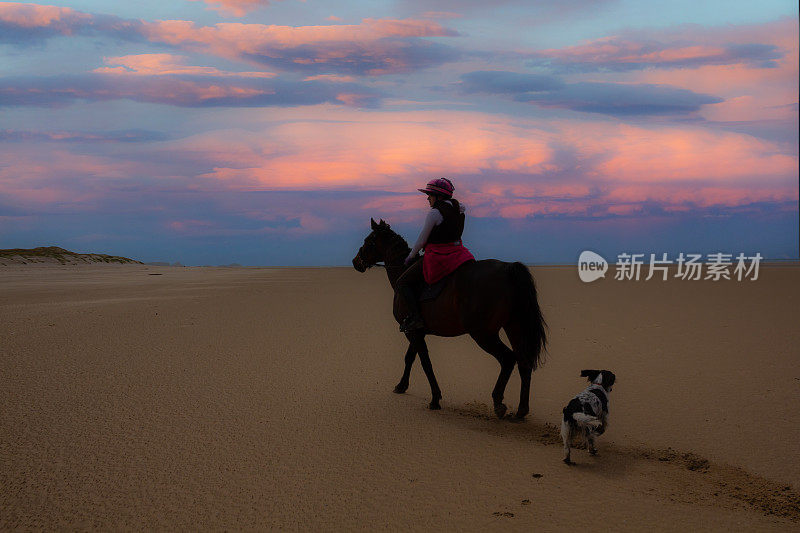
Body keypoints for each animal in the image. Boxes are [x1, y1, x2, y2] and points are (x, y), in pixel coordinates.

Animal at [354, 218, 548, 418]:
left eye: (368, 241)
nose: (355, 261)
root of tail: (507, 268)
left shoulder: (412, 332)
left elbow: (424, 362)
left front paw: (434, 398)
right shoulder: (417, 332)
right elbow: (411, 357)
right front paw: (402, 386)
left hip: (483, 334)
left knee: (508, 359)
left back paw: (498, 403)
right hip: (514, 327)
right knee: (524, 362)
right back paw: (521, 411)